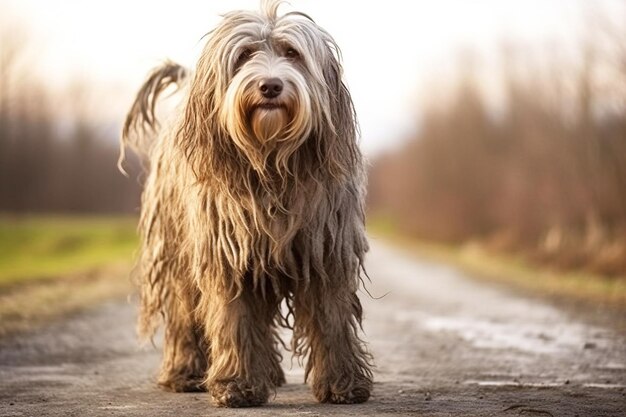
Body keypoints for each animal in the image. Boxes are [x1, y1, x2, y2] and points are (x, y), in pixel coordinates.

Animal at [119, 0, 370, 406]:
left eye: (292, 53)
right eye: (244, 55)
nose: (270, 85)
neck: (270, 162)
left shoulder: (325, 250)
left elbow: (331, 319)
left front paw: (343, 383)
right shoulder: (227, 254)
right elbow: (234, 320)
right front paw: (237, 384)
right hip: (177, 248)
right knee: (184, 312)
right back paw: (185, 373)